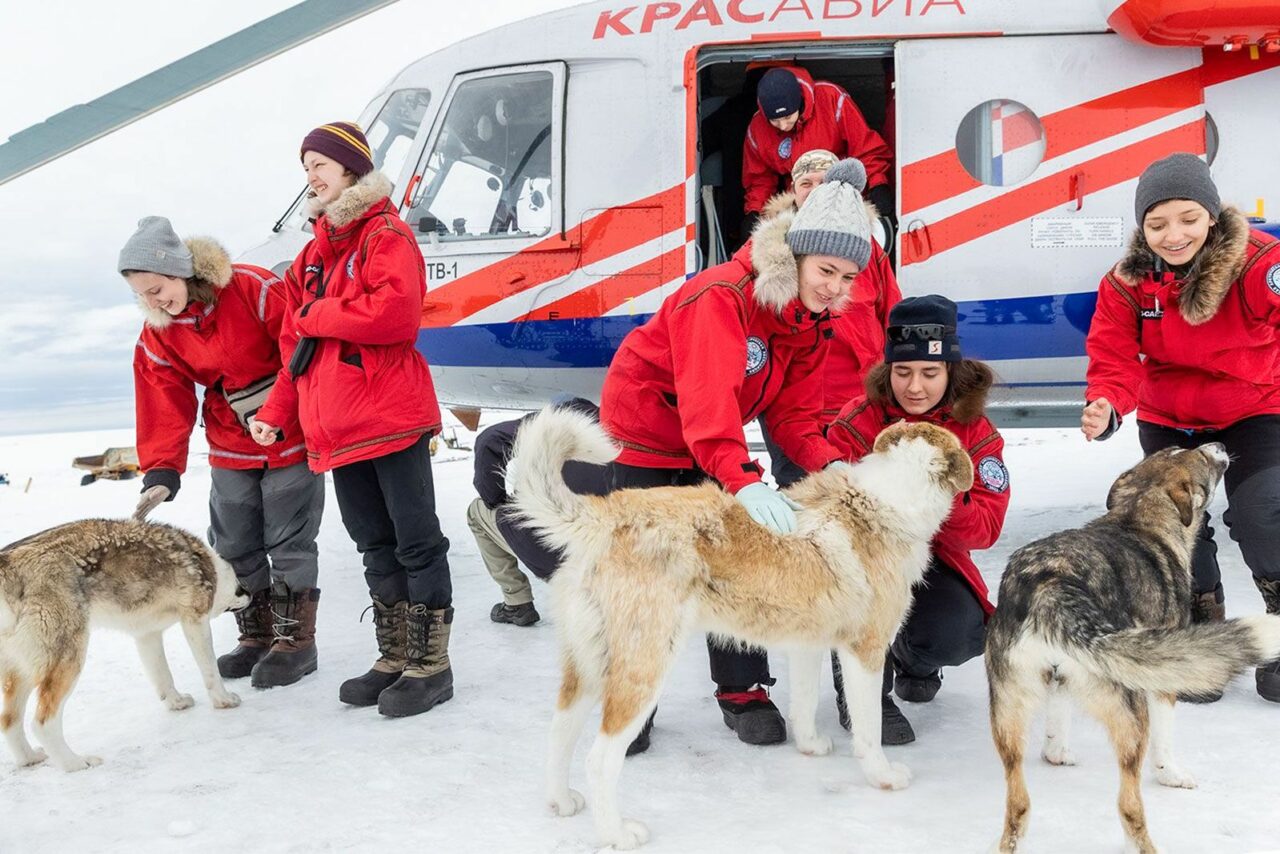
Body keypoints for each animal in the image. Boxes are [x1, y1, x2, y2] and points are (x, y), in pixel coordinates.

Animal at [0, 517, 248, 773]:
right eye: (241, 588)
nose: (250, 596)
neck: (208, 565)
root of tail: (7, 566)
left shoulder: (147, 635)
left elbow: (163, 677)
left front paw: (176, 702)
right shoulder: (195, 620)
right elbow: (210, 669)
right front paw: (224, 700)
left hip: (20, 672)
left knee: (8, 721)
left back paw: (29, 758)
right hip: (68, 660)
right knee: (42, 723)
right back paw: (76, 763)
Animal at [504, 407, 972, 850]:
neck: (883, 501)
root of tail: (607, 516)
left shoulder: (807, 644)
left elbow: (804, 705)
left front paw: (809, 747)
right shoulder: (866, 651)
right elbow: (869, 729)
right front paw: (883, 777)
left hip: (588, 665)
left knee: (559, 730)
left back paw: (561, 802)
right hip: (643, 668)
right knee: (599, 759)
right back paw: (616, 834)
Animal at [988, 445, 1280, 854]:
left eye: (1176, 450)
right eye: (1202, 460)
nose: (1218, 445)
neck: (1137, 515)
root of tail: (1049, 584)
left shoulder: (1060, 674)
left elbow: (1057, 721)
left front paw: (1056, 754)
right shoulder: (1161, 682)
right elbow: (1165, 742)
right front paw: (1171, 774)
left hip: (1008, 712)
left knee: (1018, 807)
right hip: (1129, 712)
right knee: (1128, 805)